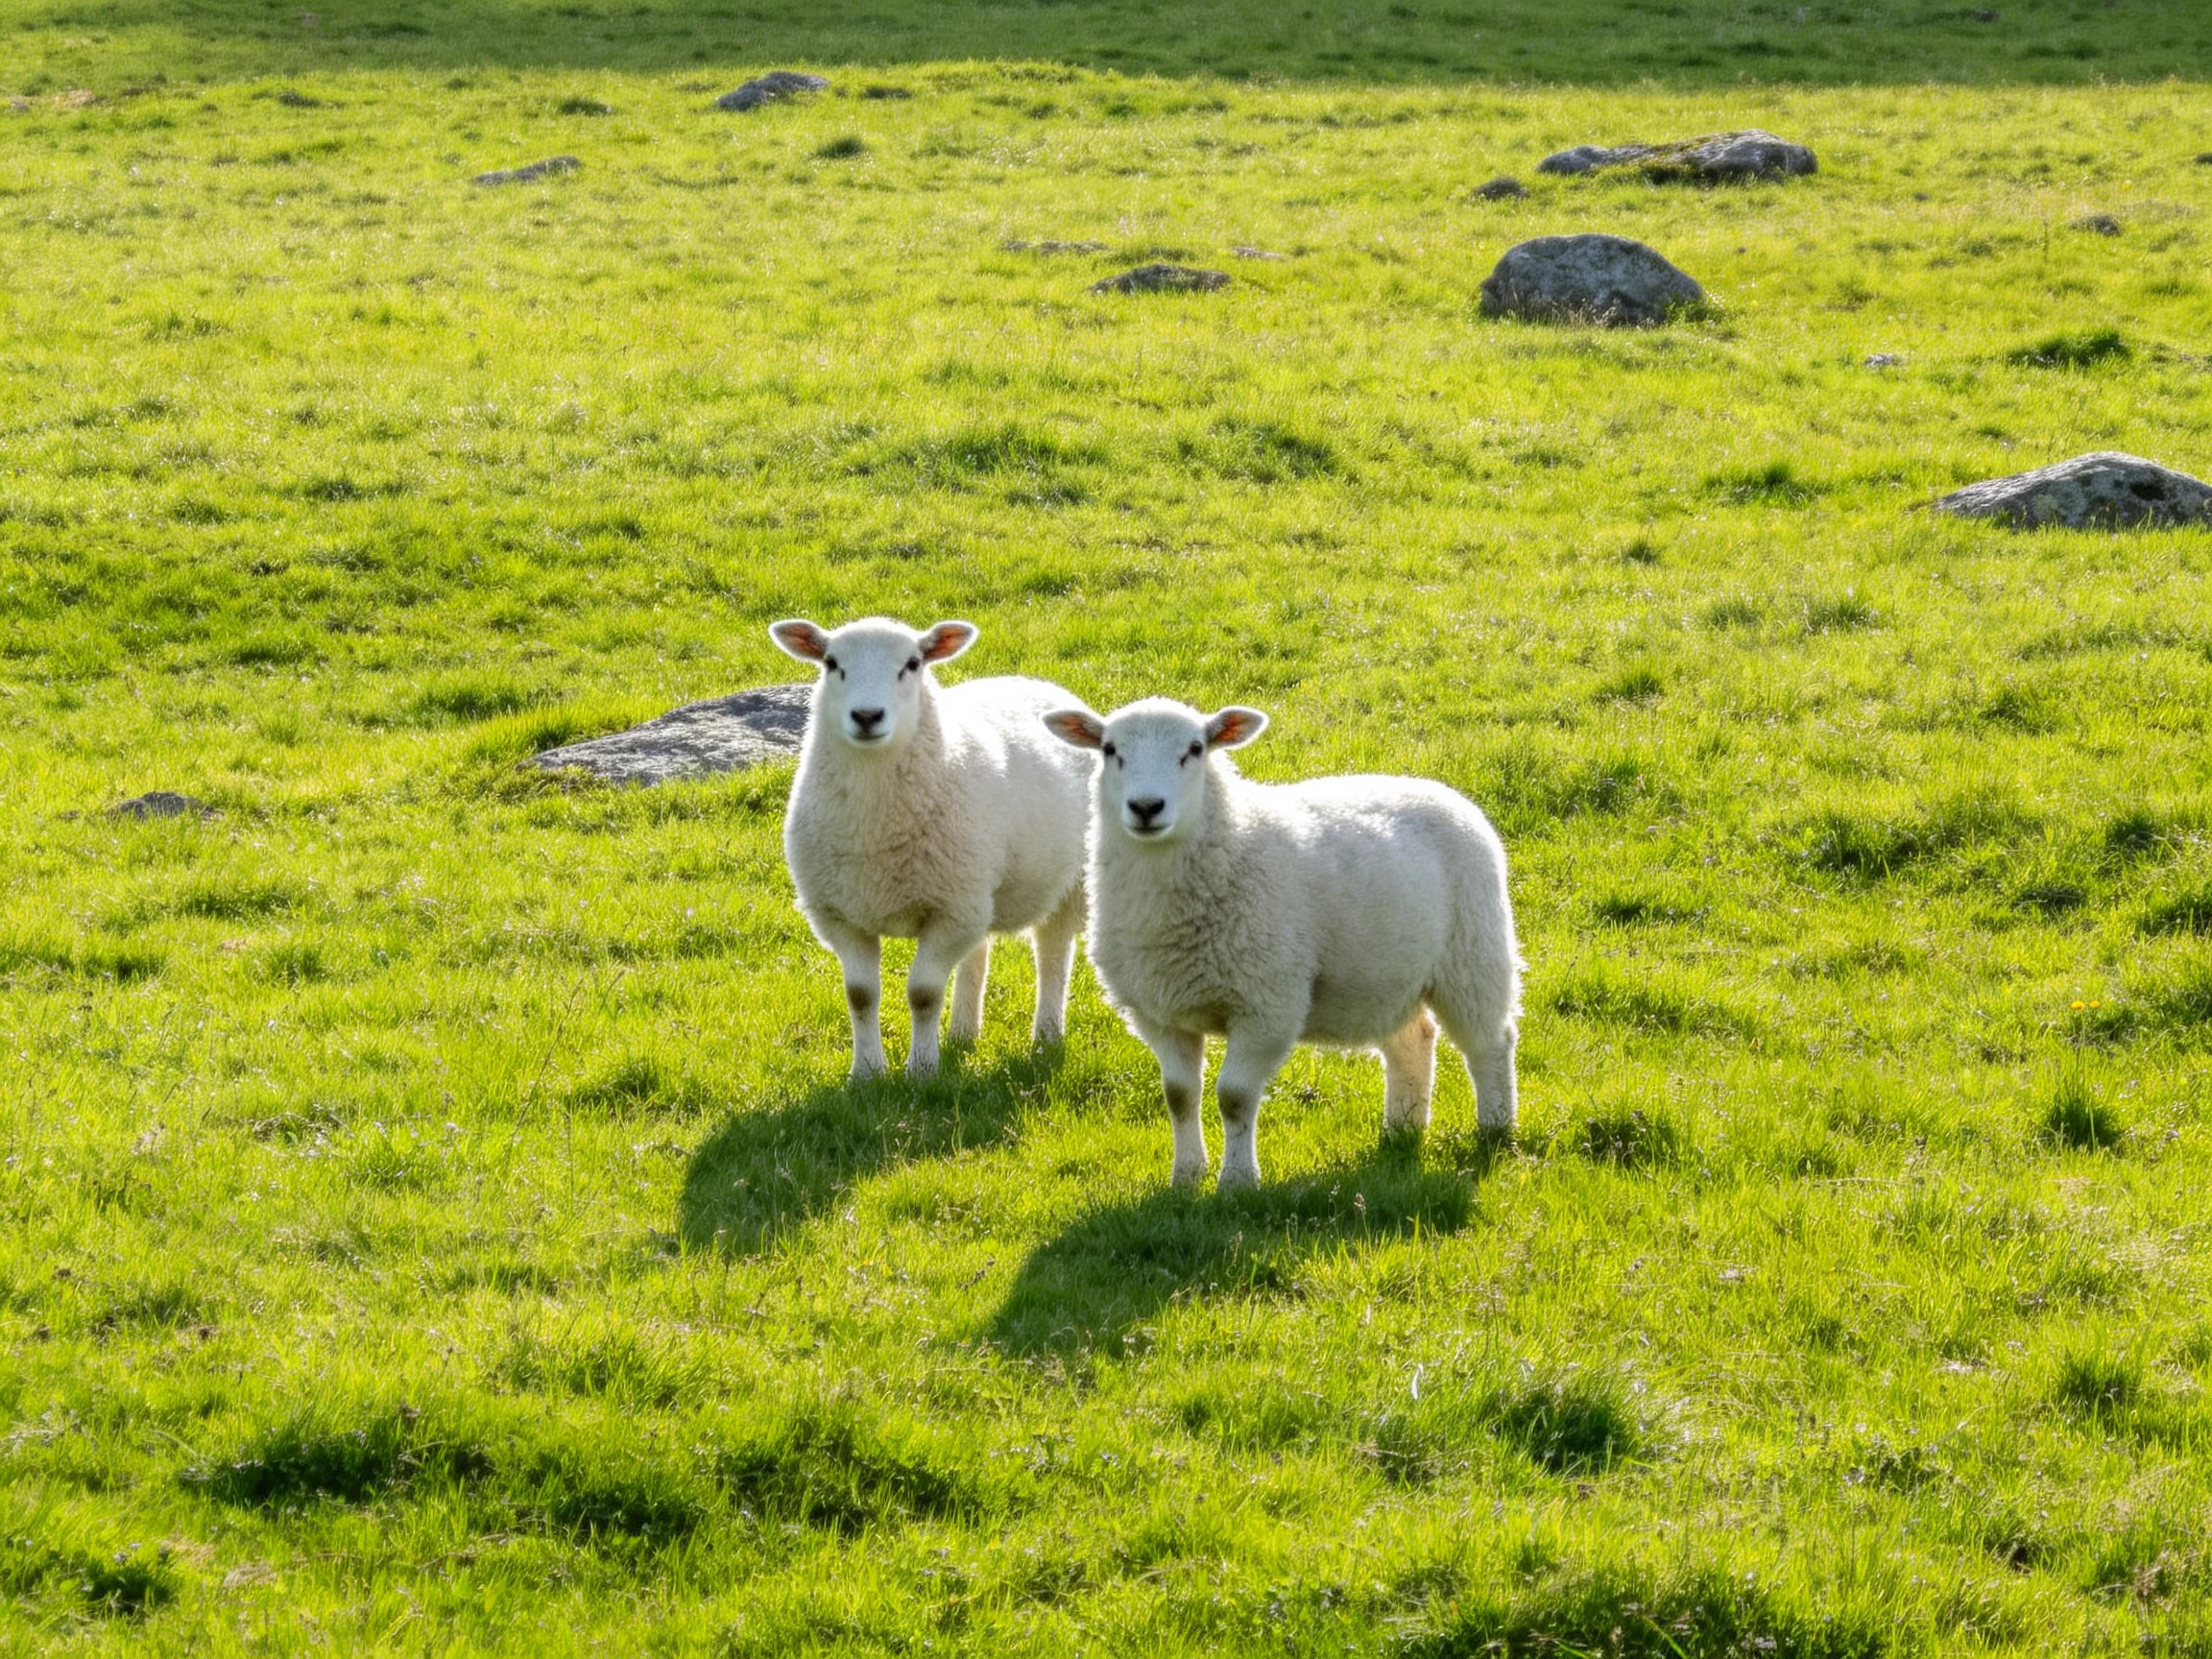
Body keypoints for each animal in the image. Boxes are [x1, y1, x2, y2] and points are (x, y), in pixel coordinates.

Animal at [770, 616, 1093, 1079]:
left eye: (912, 664)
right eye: (831, 663)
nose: (866, 716)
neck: (875, 828)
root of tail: (1038, 683)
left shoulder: (947, 910)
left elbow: (922, 993)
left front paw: (921, 1071)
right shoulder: (841, 914)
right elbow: (860, 995)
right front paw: (866, 1073)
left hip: (1067, 882)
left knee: (1052, 955)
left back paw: (1046, 1037)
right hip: (976, 889)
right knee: (978, 952)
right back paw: (962, 1033)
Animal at [1043, 697, 1521, 1189]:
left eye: (1195, 749)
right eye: (1109, 749)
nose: (1145, 806)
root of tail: (1441, 791)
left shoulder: (1266, 1004)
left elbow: (1233, 1097)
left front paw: (1236, 1183)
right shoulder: (1159, 1012)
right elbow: (1179, 1095)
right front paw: (1187, 1177)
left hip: (1474, 953)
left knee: (1491, 1042)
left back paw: (1494, 1127)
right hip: (1387, 978)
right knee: (1413, 1040)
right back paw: (1402, 1130)